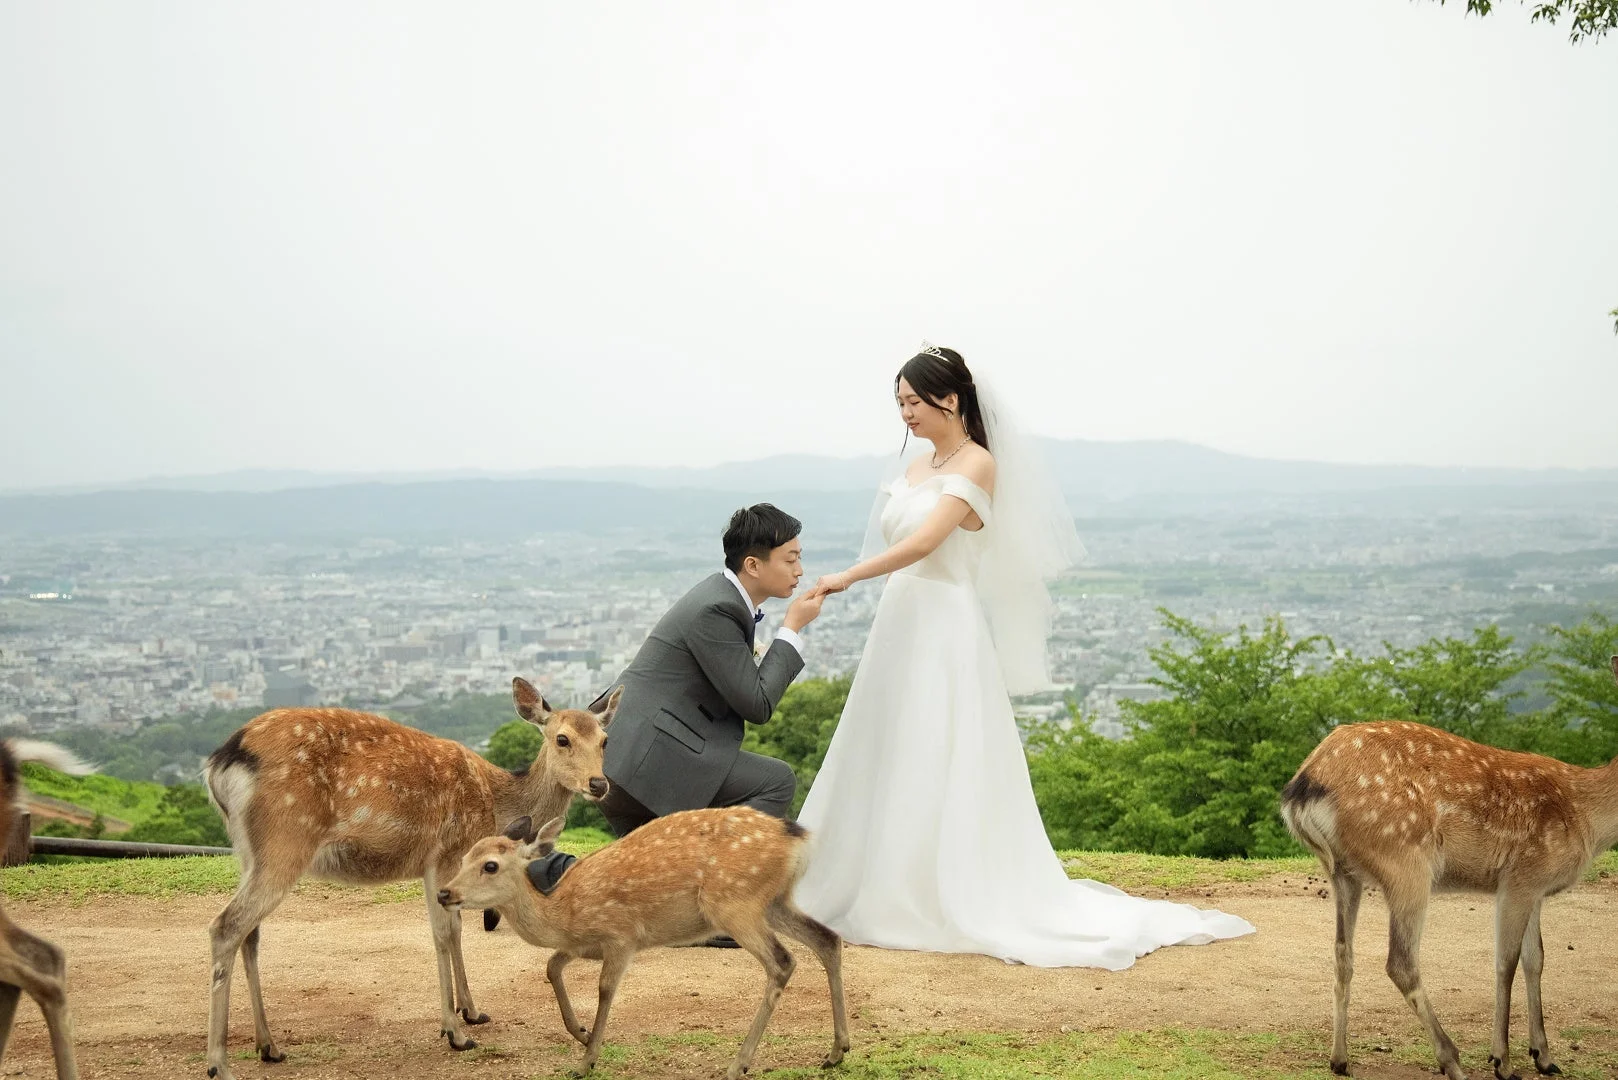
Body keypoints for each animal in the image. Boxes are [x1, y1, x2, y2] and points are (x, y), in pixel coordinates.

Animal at [202, 676, 617, 1080]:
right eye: (562, 738)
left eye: (604, 740)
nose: (599, 784)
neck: (496, 804)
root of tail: (220, 762)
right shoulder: (445, 853)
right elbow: (444, 933)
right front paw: (455, 1032)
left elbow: (453, 930)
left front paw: (472, 1012)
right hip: (286, 839)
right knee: (226, 926)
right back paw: (220, 1064)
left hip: (248, 851)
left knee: (250, 933)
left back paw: (268, 1046)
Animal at [437, 806, 850, 1080]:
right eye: (465, 856)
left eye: (490, 865)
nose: (444, 893)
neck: (565, 915)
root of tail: (799, 839)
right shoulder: (581, 946)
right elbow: (551, 967)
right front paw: (580, 1033)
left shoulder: (621, 937)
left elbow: (605, 989)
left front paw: (587, 1060)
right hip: (775, 901)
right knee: (828, 939)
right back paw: (836, 1051)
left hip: (735, 903)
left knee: (783, 961)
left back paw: (738, 1064)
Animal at [1281, 655, 1618, 1080]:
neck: (1587, 816)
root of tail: (1302, 789)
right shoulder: (1520, 878)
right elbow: (1505, 962)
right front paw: (1503, 1061)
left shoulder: (1537, 889)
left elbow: (1536, 959)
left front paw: (1544, 1055)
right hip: (1406, 861)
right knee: (1401, 962)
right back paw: (1451, 1059)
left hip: (1343, 872)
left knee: (1343, 952)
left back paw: (1340, 1060)